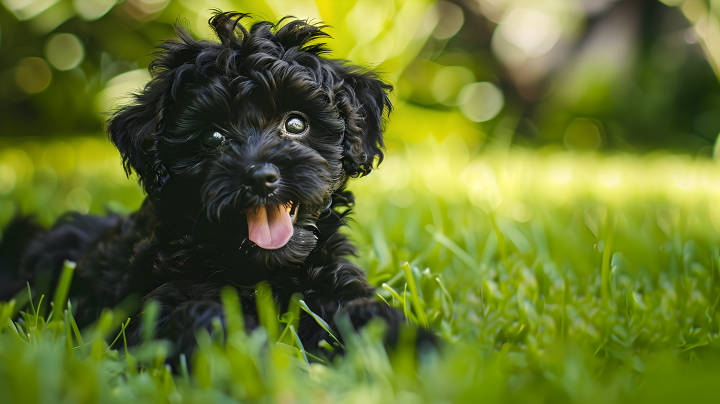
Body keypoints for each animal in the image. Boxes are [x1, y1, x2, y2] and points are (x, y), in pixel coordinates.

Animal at [0, 11, 424, 360]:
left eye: (296, 123)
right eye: (213, 137)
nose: (261, 177)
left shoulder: (336, 283)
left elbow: (359, 314)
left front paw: (410, 344)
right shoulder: (156, 303)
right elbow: (194, 317)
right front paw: (244, 352)